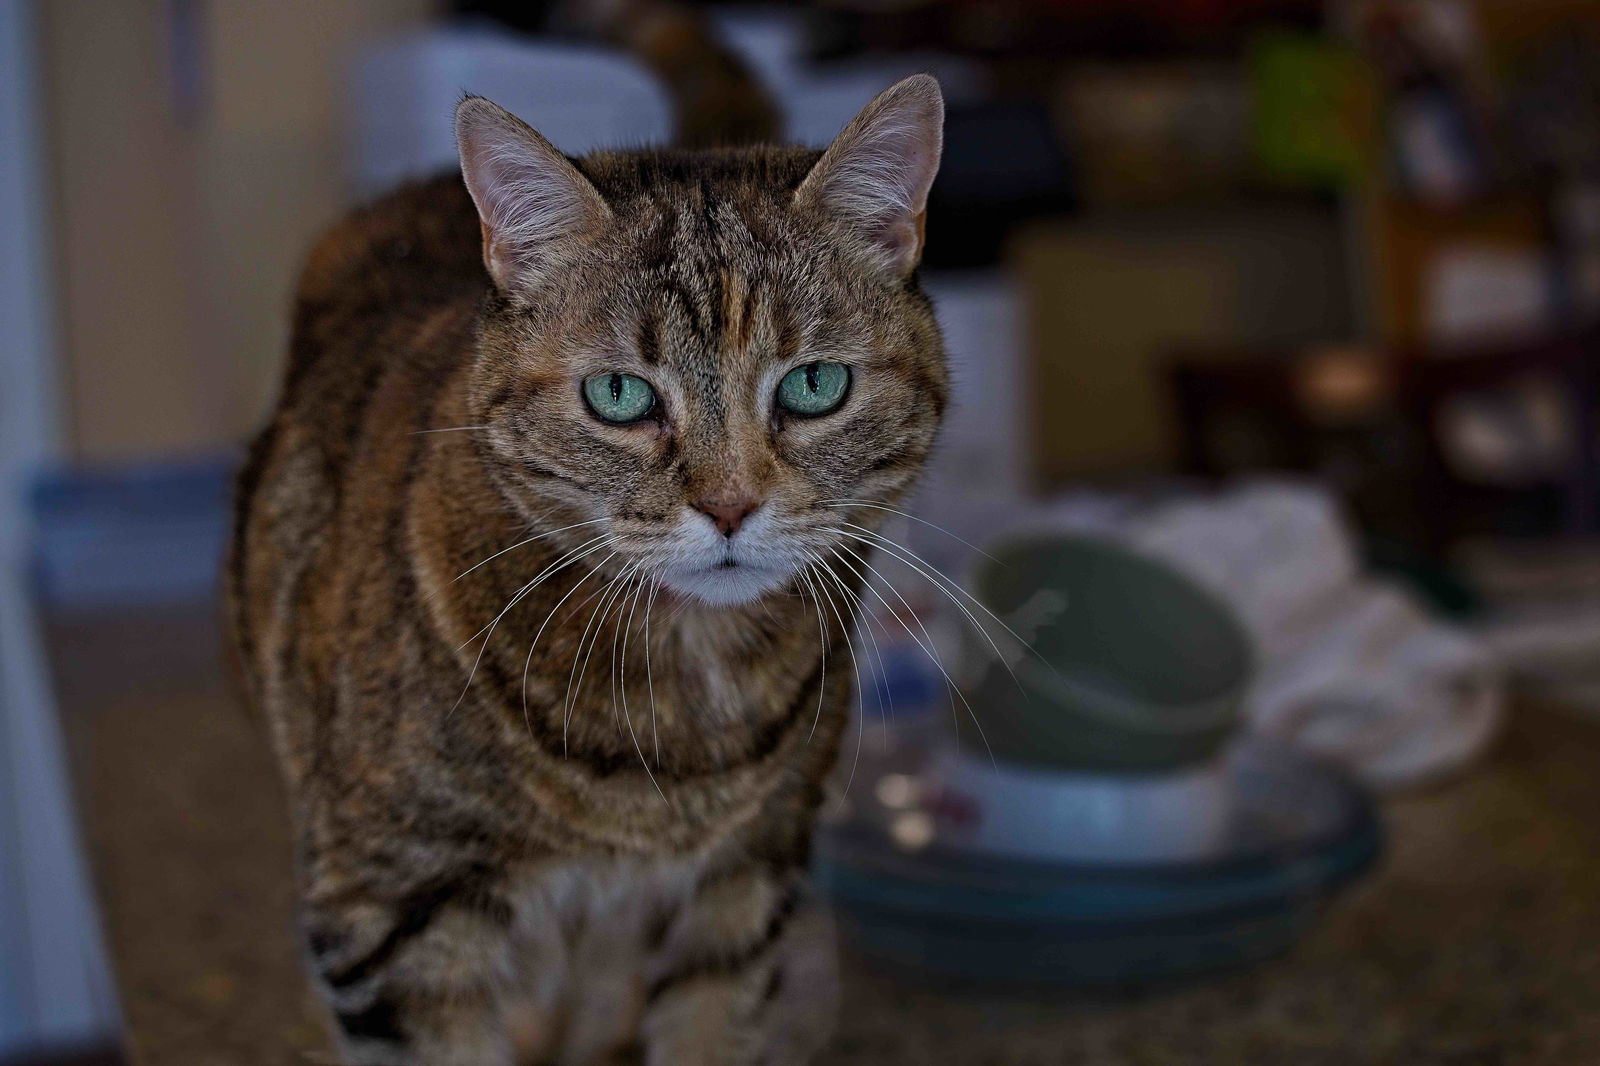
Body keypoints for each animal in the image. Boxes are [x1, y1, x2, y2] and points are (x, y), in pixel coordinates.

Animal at [227, 70, 947, 1056]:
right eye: (618, 394)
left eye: (813, 384)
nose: (729, 505)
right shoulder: (391, 921)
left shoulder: (742, 888)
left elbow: (709, 1029)